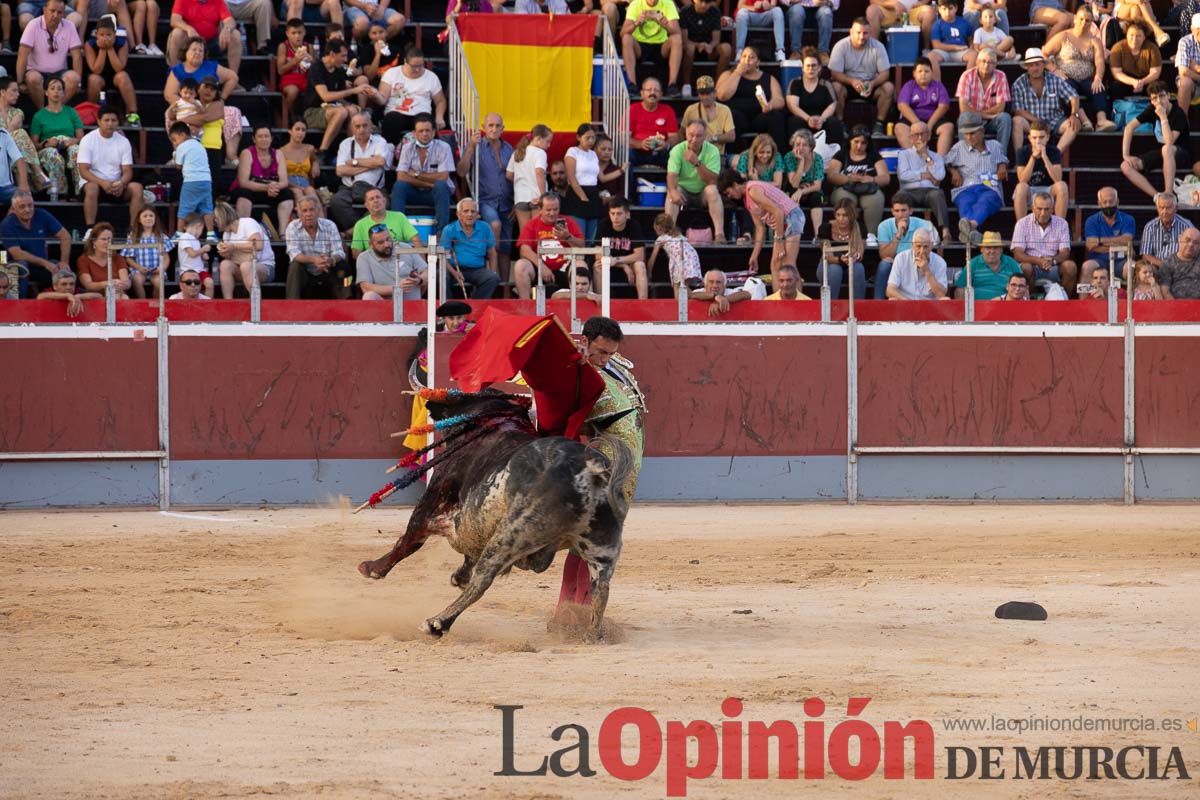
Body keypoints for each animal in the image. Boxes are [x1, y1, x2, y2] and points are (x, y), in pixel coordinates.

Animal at [355, 391, 638, 647]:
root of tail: (591, 470)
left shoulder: (433, 498)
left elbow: (408, 540)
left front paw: (372, 568)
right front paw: (458, 575)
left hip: (511, 535)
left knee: (483, 579)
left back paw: (437, 623)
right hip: (602, 550)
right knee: (600, 590)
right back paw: (592, 636)